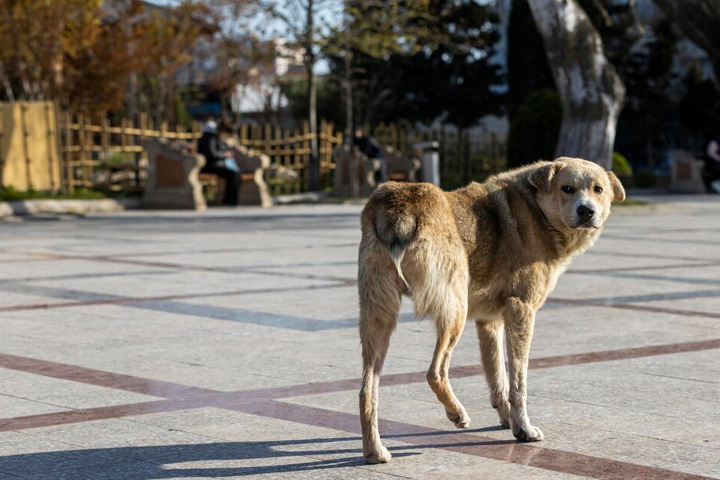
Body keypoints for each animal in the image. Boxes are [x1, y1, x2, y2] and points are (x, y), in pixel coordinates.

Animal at [360, 159, 624, 464]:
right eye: (567, 188)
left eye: (598, 189)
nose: (586, 211)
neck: (536, 210)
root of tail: (400, 203)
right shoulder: (520, 311)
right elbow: (518, 381)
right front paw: (524, 429)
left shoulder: (489, 322)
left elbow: (498, 377)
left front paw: (508, 421)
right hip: (455, 311)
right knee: (434, 372)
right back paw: (456, 413)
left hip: (378, 318)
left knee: (367, 390)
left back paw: (374, 451)